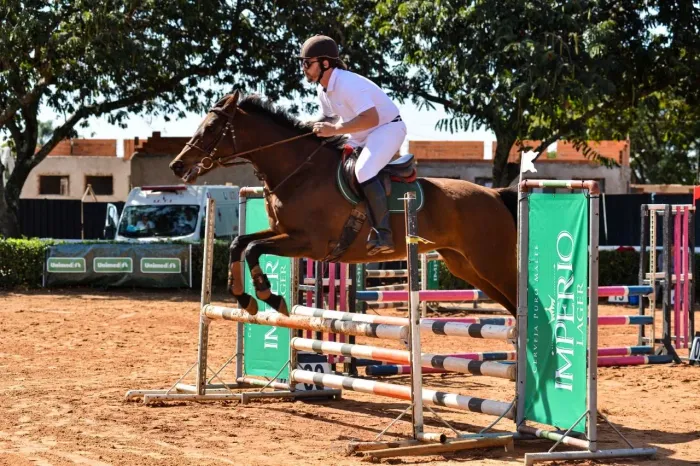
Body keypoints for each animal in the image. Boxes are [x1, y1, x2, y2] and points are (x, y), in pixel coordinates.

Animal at [170, 91, 518, 317]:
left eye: (211, 128)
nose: (177, 165)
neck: (300, 172)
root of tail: (495, 195)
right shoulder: (281, 232)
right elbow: (239, 244)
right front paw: (246, 300)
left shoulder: (308, 242)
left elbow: (253, 249)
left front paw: (270, 296)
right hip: (465, 266)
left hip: (491, 263)